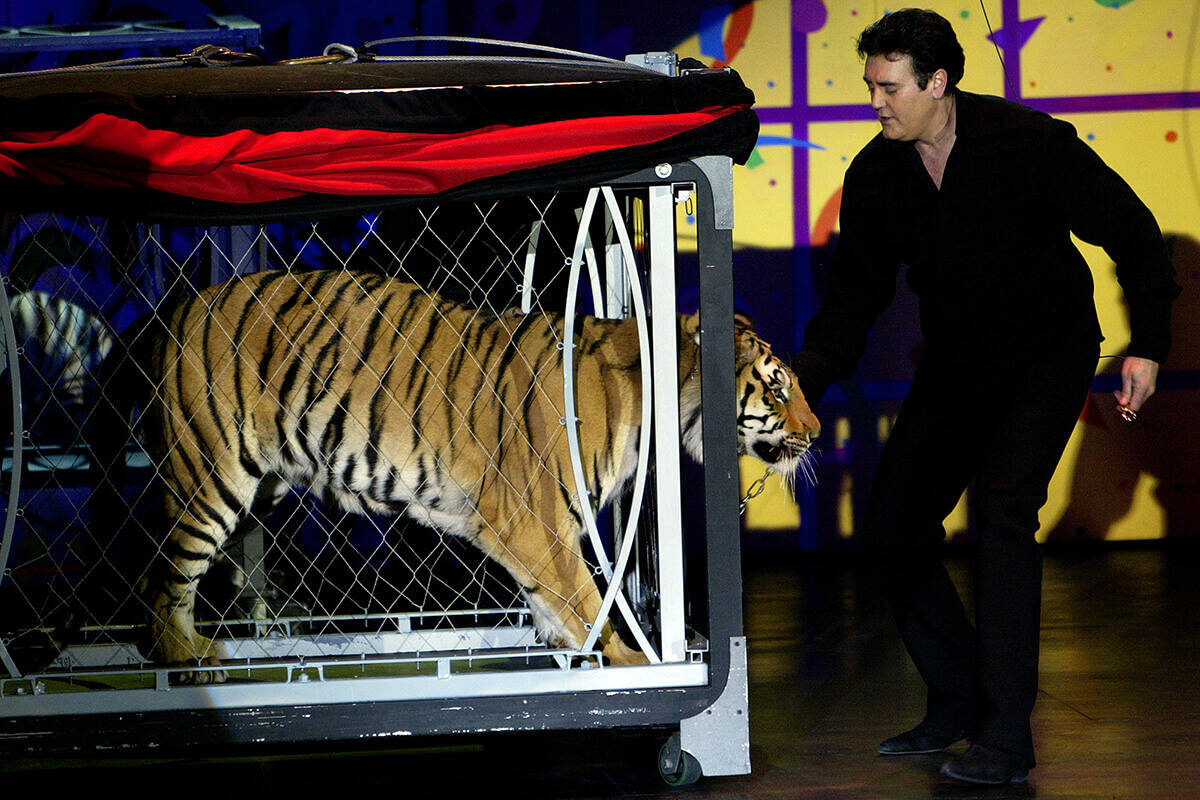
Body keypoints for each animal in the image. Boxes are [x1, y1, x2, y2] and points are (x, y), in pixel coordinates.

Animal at [114, 268, 816, 681]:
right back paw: (187, 661)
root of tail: (184, 303)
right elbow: (586, 596)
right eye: (777, 387)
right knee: (162, 572)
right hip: (210, 474)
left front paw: (578, 655)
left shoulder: (531, 532)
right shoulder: (532, 518)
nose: (816, 432)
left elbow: (558, 603)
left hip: (260, 484)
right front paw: (630, 660)